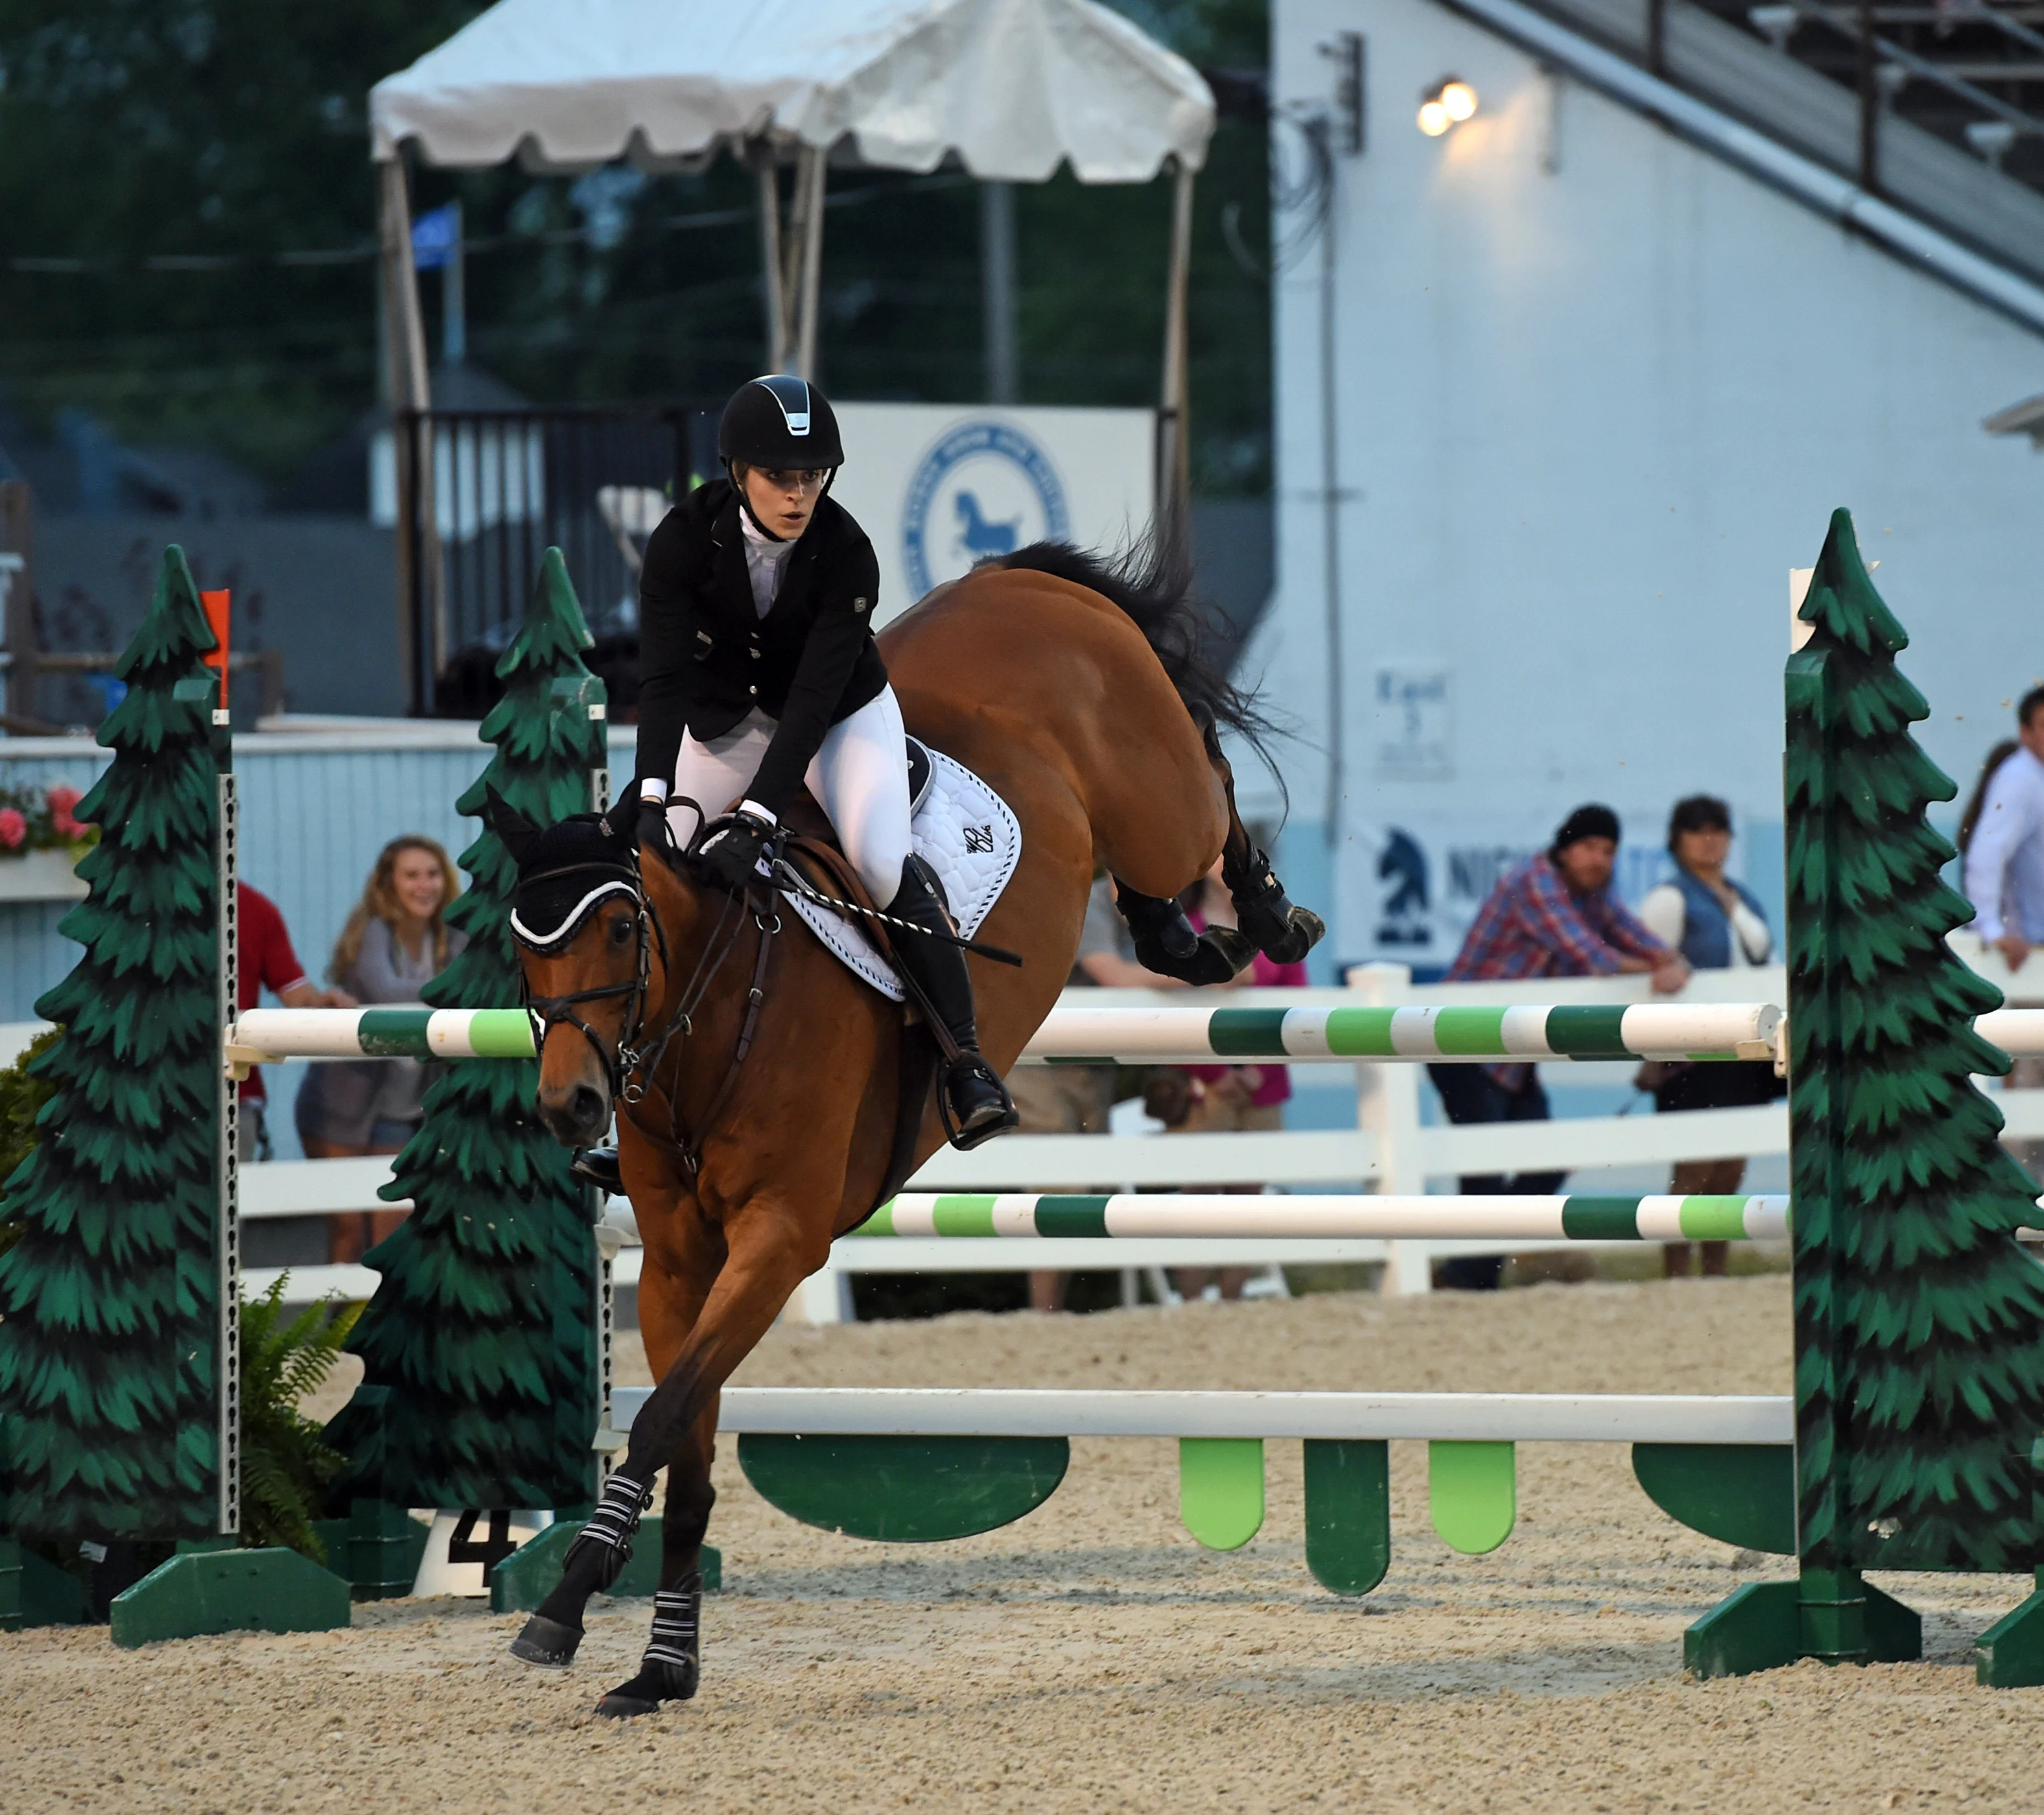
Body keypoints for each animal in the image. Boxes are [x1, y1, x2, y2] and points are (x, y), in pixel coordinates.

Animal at [495, 539, 1324, 1716]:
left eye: (618, 927)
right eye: (522, 943)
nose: (569, 1104)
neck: (719, 1004)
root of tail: (1018, 581)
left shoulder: (780, 1240)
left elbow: (658, 1422)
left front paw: (567, 1605)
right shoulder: (677, 1261)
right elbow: (687, 1441)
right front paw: (660, 1665)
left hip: (1154, 794)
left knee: (1205, 790)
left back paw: (1263, 913)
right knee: (1157, 870)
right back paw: (1182, 942)